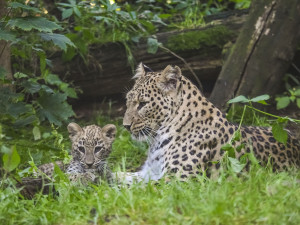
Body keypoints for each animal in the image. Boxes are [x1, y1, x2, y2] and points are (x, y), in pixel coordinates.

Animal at [116, 63, 300, 183]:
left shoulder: (178, 180)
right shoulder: (149, 172)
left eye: (142, 104)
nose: (125, 126)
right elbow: (122, 176)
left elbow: (138, 189)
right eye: (128, 100)